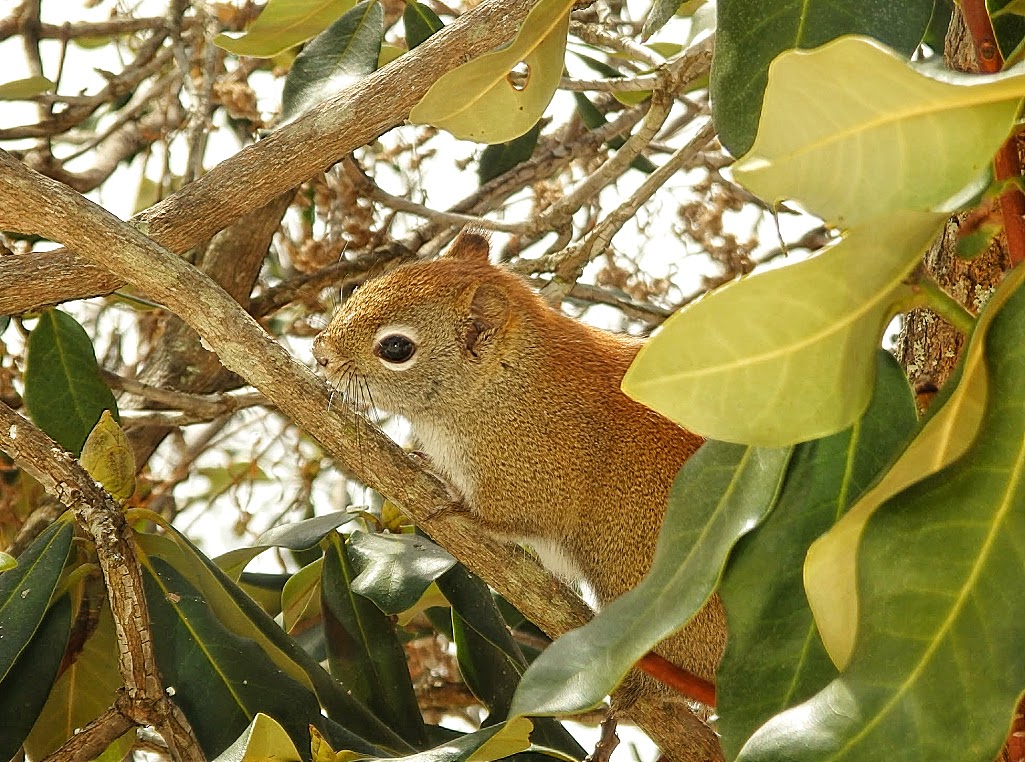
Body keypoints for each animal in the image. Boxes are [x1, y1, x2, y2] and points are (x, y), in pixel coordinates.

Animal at [311, 229, 729, 689]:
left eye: (396, 347)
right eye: (363, 286)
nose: (320, 353)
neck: (508, 380)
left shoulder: (532, 475)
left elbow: (509, 518)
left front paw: (457, 508)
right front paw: (425, 464)